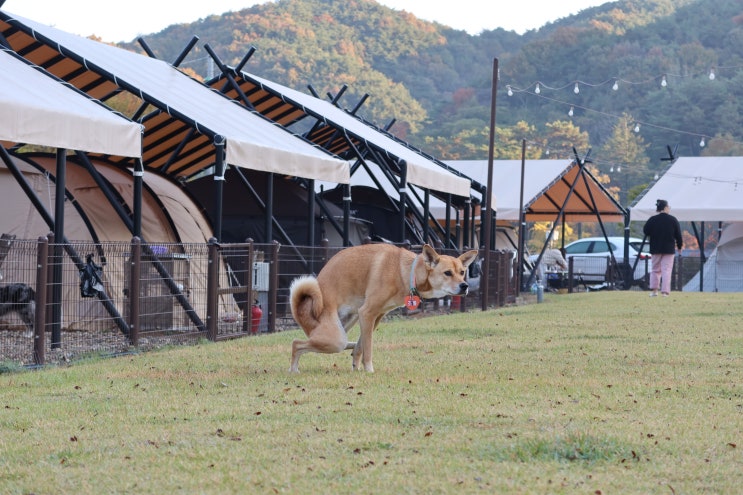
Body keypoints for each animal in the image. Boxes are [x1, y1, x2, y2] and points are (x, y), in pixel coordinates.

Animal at [289, 243, 478, 373]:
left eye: (462, 272)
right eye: (447, 273)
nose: (465, 286)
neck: (406, 272)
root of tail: (302, 310)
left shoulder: (376, 316)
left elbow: (361, 346)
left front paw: (356, 367)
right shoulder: (367, 313)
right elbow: (368, 348)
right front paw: (369, 370)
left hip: (348, 322)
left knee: (326, 342)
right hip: (335, 338)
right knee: (297, 343)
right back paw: (294, 369)